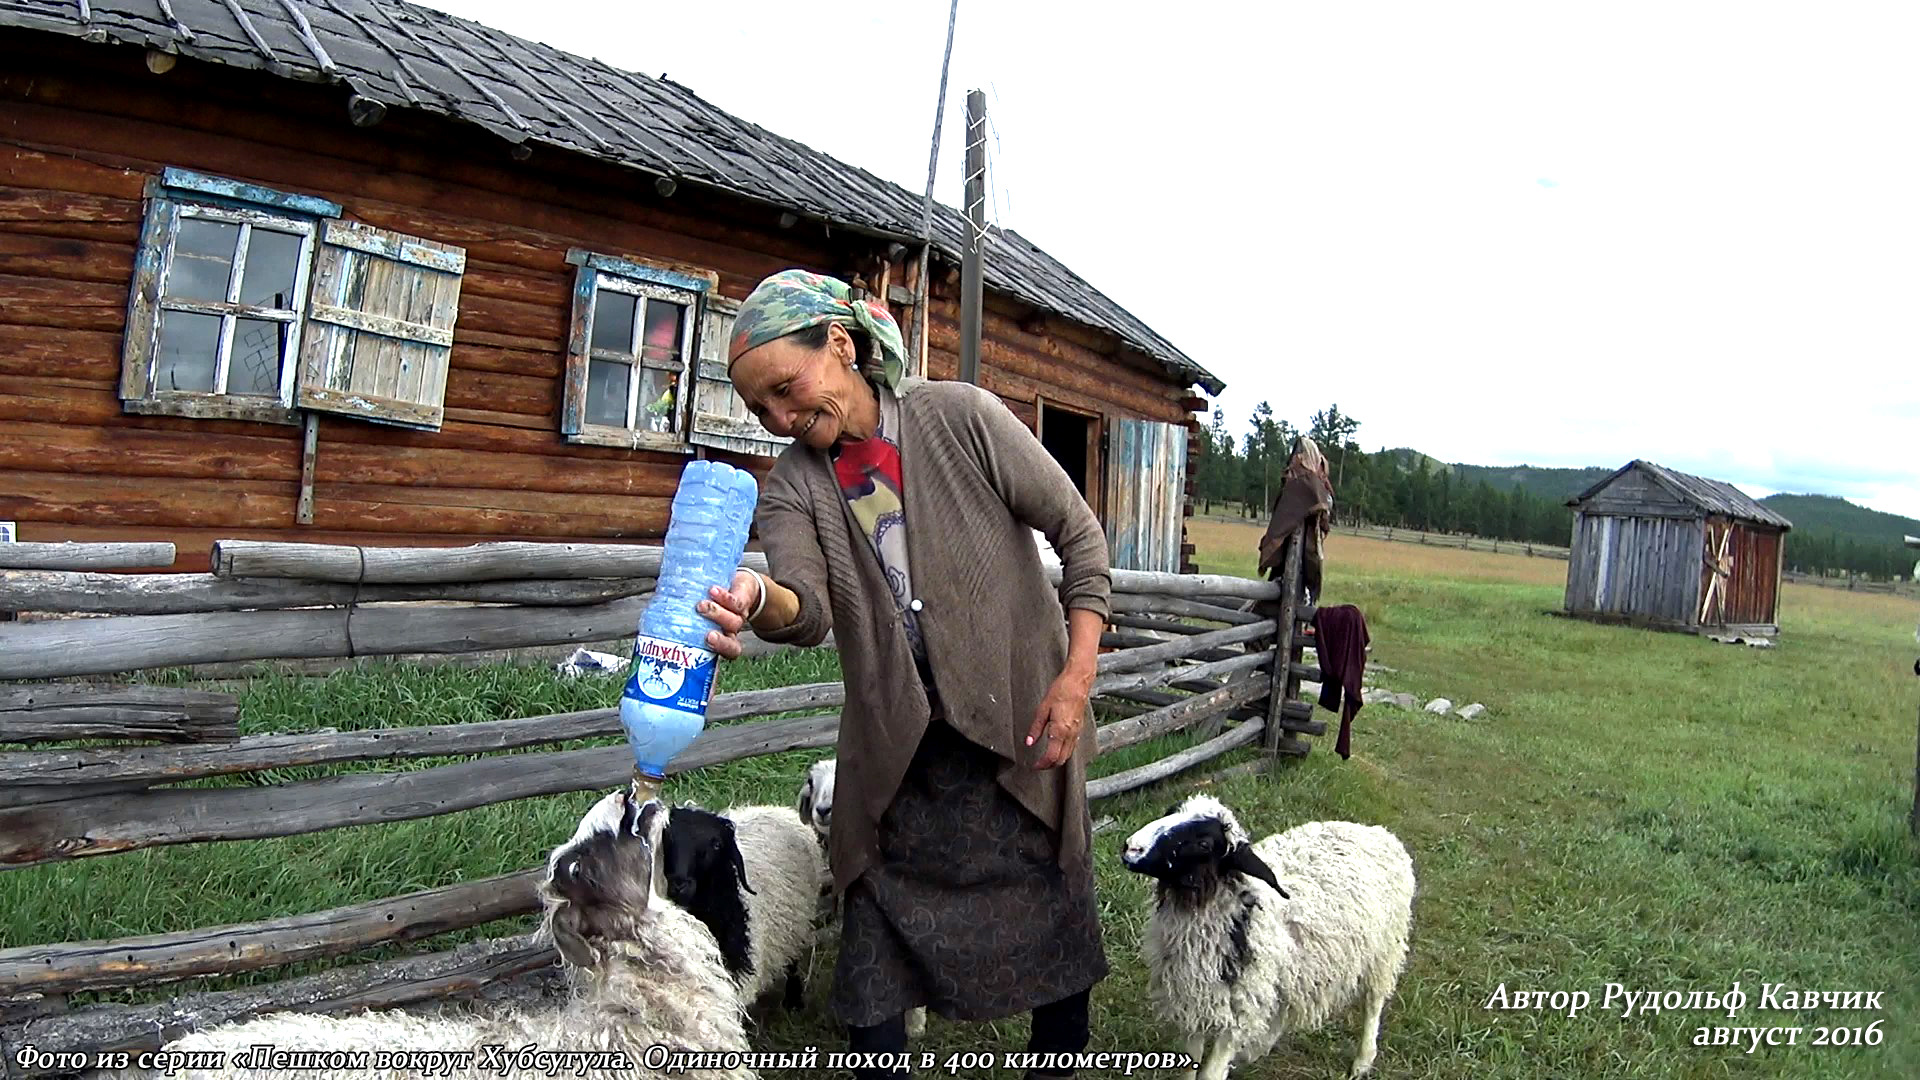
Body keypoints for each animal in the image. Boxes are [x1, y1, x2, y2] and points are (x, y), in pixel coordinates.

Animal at [668, 799, 825, 1006]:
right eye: (667, 837)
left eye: (717, 844)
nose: (679, 883)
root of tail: (778, 810)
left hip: (797, 924)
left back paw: (793, 1000)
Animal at [1121, 791, 1420, 1076]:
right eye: (1170, 811)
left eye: (1204, 843)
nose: (1131, 848)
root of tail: (1377, 831)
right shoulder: (1193, 1005)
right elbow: (1189, 1067)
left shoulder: (1238, 1014)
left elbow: (1210, 1073)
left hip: (1385, 950)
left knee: (1373, 1003)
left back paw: (1363, 1060)